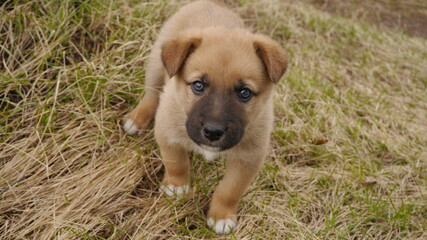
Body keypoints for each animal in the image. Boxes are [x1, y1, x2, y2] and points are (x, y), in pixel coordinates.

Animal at [125, 0, 290, 235]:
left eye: (245, 93)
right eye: (198, 85)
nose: (213, 132)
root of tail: (211, 3)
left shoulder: (249, 159)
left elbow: (229, 190)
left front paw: (221, 216)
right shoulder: (168, 133)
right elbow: (177, 162)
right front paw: (176, 186)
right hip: (156, 65)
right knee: (151, 94)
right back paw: (137, 119)